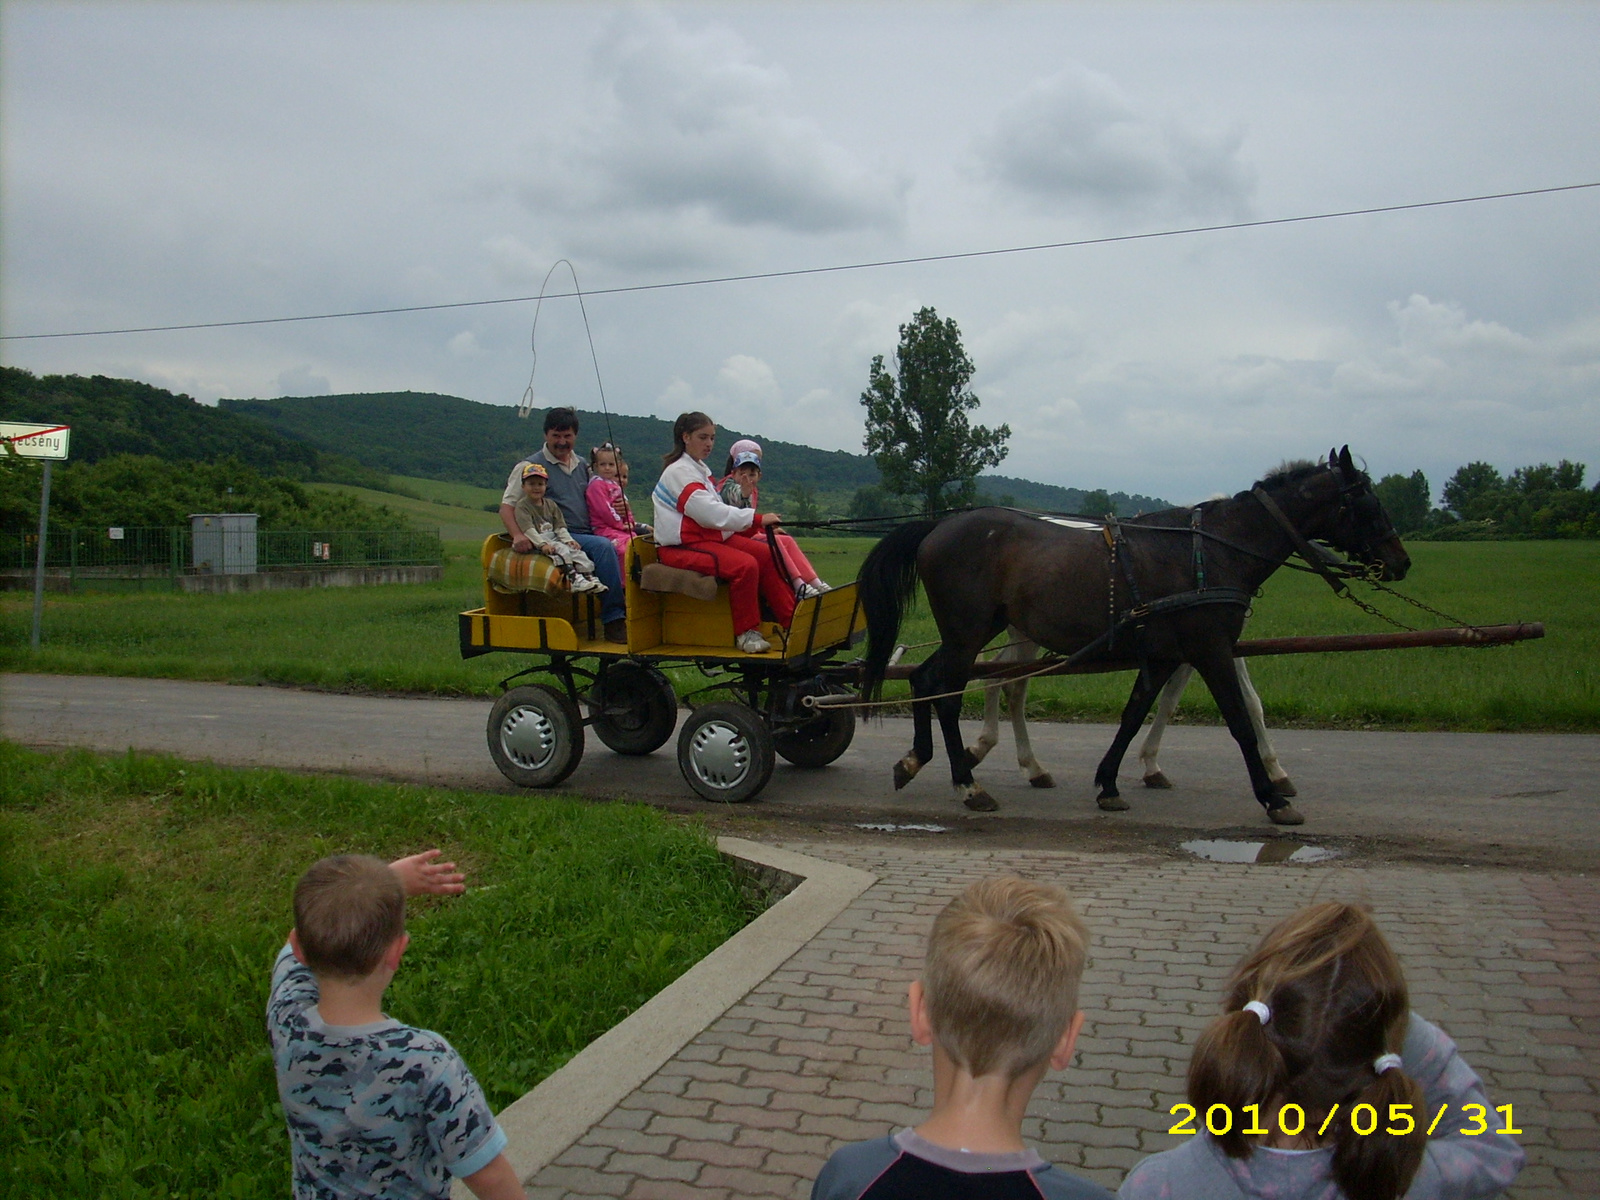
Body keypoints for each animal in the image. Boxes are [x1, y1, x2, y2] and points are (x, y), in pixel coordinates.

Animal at [857, 451, 1408, 825]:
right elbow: (1240, 720)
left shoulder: (1166, 654)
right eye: (1367, 500)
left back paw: (922, 761)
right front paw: (1272, 795)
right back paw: (968, 784)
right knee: (947, 691)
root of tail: (937, 526)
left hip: (981, 632)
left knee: (934, 682)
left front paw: (1110, 782)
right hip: (968, 633)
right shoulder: (1211, 649)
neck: (1210, 552)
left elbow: (1136, 713)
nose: (1400, 561)